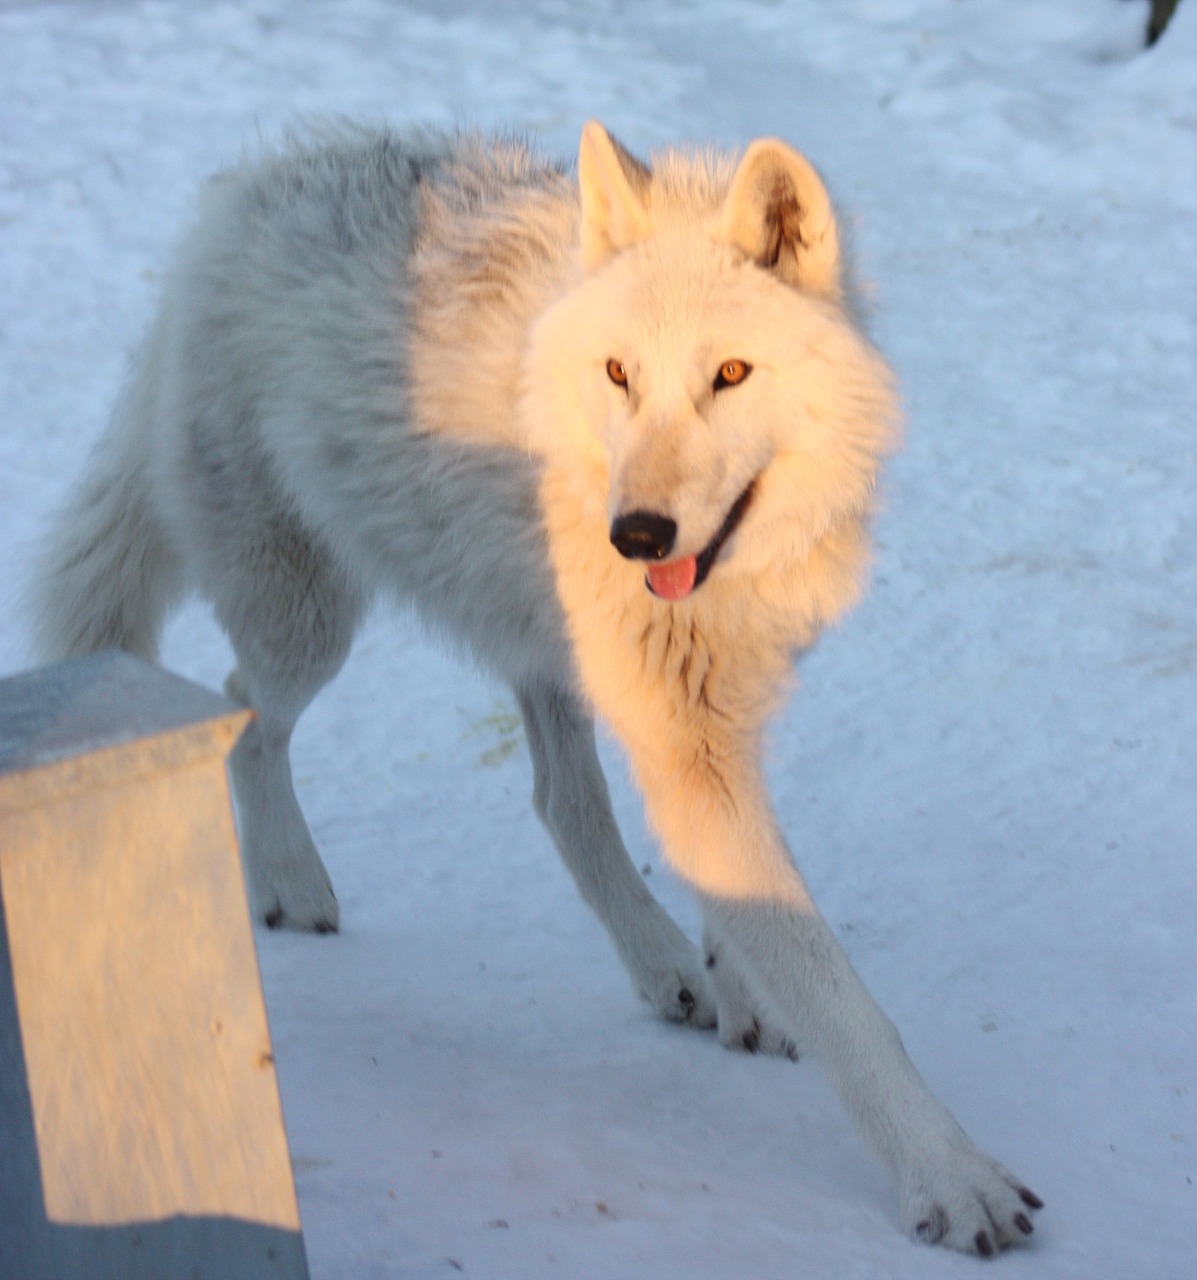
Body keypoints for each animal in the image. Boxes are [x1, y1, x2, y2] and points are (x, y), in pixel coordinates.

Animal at [37, 122, 1039, 1249]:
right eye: (619, 373)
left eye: (731, 373)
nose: (634, 533)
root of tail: (242, 190)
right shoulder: (684, 736)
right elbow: (845, 1001)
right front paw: (955, 1180)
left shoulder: (709, 725)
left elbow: (736, 895)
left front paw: (742, 992)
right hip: (309, 624)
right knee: (241, 708)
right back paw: (290, 883)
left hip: (527, 648)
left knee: (560, 803)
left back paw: (665, 971)